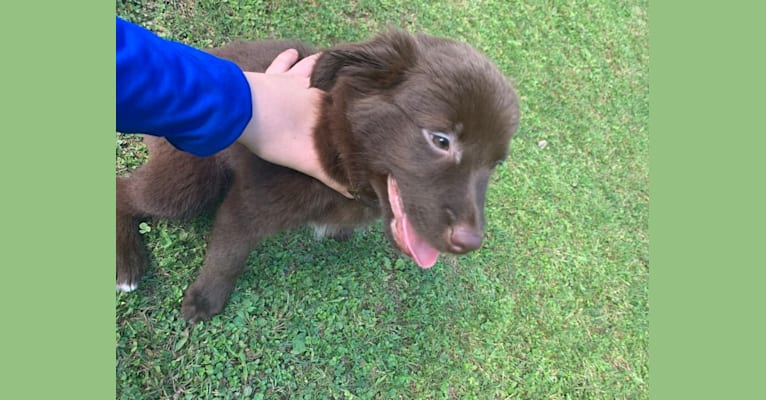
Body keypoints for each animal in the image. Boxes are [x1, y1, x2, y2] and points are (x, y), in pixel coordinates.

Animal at [115, 32, 520, 324]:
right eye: (440, 140)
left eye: (496, 163)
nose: (470, 243)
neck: (337, 145)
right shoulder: (247, 206)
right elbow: (227, 256)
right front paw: (205, 299)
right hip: (193, 182)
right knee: (124, 191)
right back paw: (127, 262)